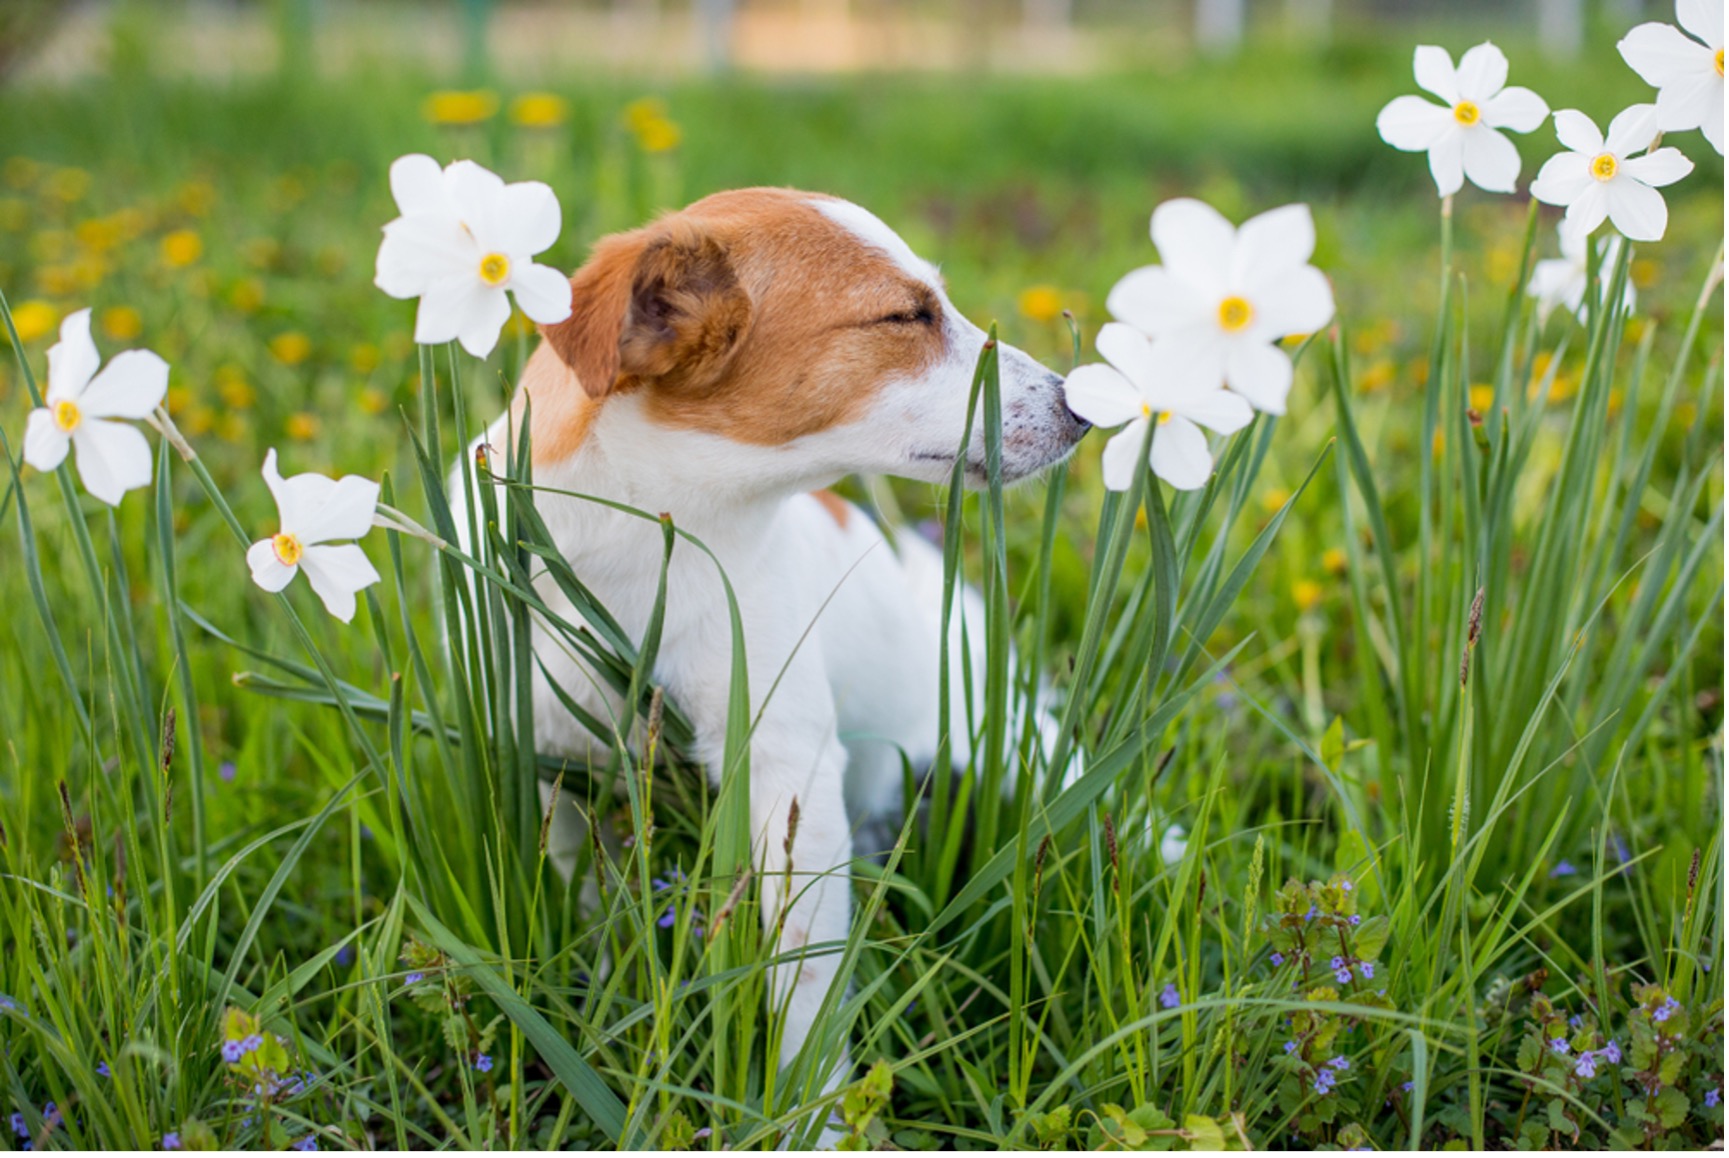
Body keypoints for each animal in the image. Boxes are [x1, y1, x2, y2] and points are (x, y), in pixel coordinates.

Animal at [459, 185, 1078, 1126]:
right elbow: (584, 906)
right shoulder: (548, 761)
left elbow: (805, 983)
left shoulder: (786, 773)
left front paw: (810, 1117)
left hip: (1013, 745)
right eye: (905, 315)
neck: (646, 544)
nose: (1085, 408)